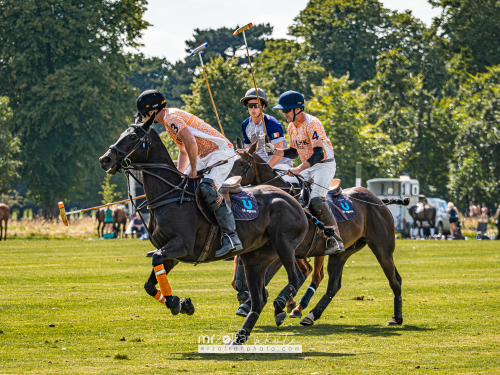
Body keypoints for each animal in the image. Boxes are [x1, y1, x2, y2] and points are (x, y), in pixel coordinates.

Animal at [99, 115, 310, 346]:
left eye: (133, 136)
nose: (105, 159)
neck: (170, 194)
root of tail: (295, 201)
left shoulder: (182, 245)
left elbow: (156, 260)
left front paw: (176, 302)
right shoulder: (169, 253)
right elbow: (150, 282)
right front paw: (182, 304)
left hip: (283, 245)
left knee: (295, 277)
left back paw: (281, 307)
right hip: (255, 257)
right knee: (259, 297)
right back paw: (240, 337)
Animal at [230, 140, 406, 328]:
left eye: (242, 163)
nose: (229, 184)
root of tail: (380, 200)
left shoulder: (283, 250)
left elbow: (274, 276)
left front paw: (276, 305)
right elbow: (267, 276)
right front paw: (249, 304)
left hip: (382, 248)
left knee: (394, 278)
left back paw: (396, 317)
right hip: (342, 253)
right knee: (333, 285)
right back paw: (311, 315)